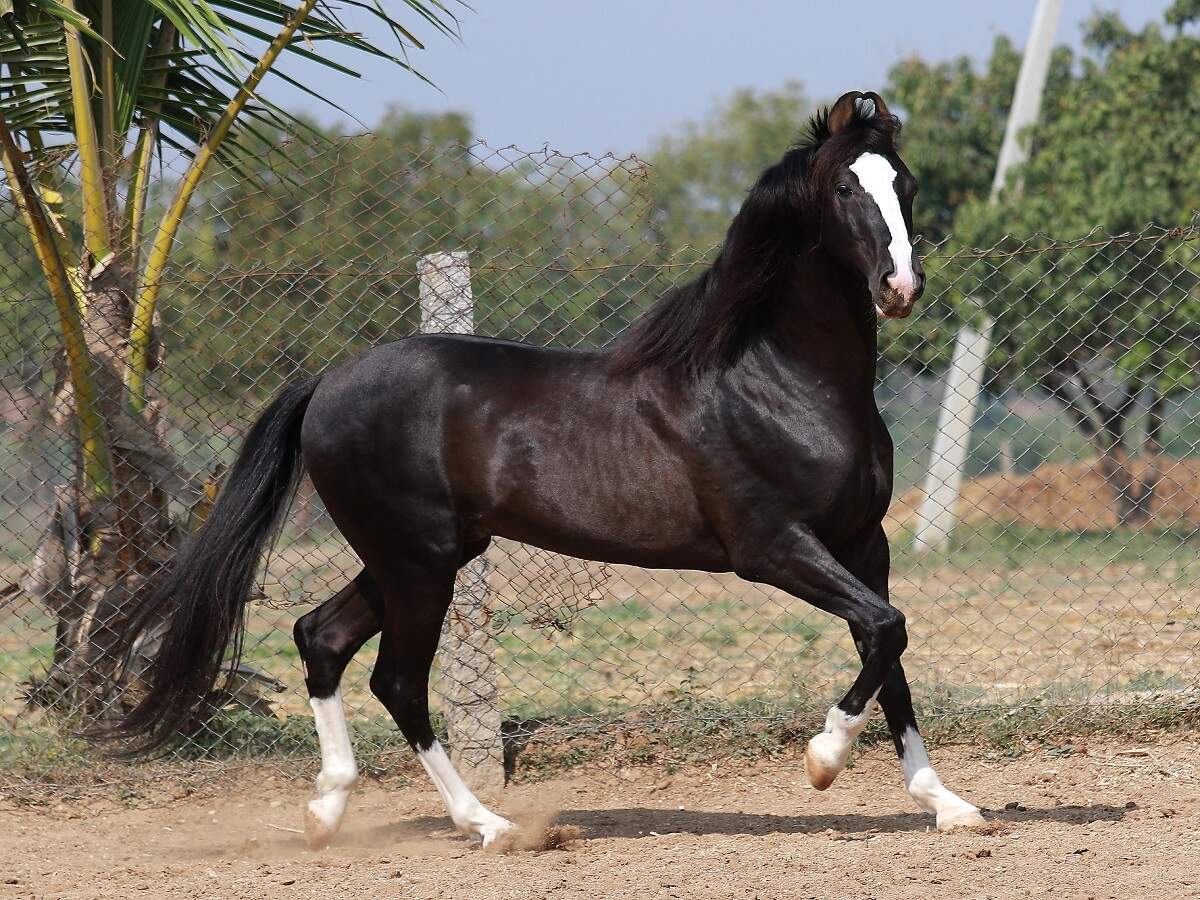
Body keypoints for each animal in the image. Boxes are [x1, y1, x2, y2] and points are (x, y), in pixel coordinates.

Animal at [101, 90, 985, 848]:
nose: (900, 285)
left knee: (321, 639)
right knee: (397, 682)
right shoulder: (770, 548)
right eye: (843, 186)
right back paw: (488, 825)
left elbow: (890, 650)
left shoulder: (865, 542)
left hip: (412, 558)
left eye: (905, 183)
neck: (775, 380)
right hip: (419, 564)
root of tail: (329, 381)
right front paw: (822, 761)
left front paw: (949, 805)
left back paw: (328, 811)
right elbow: (885, 630)